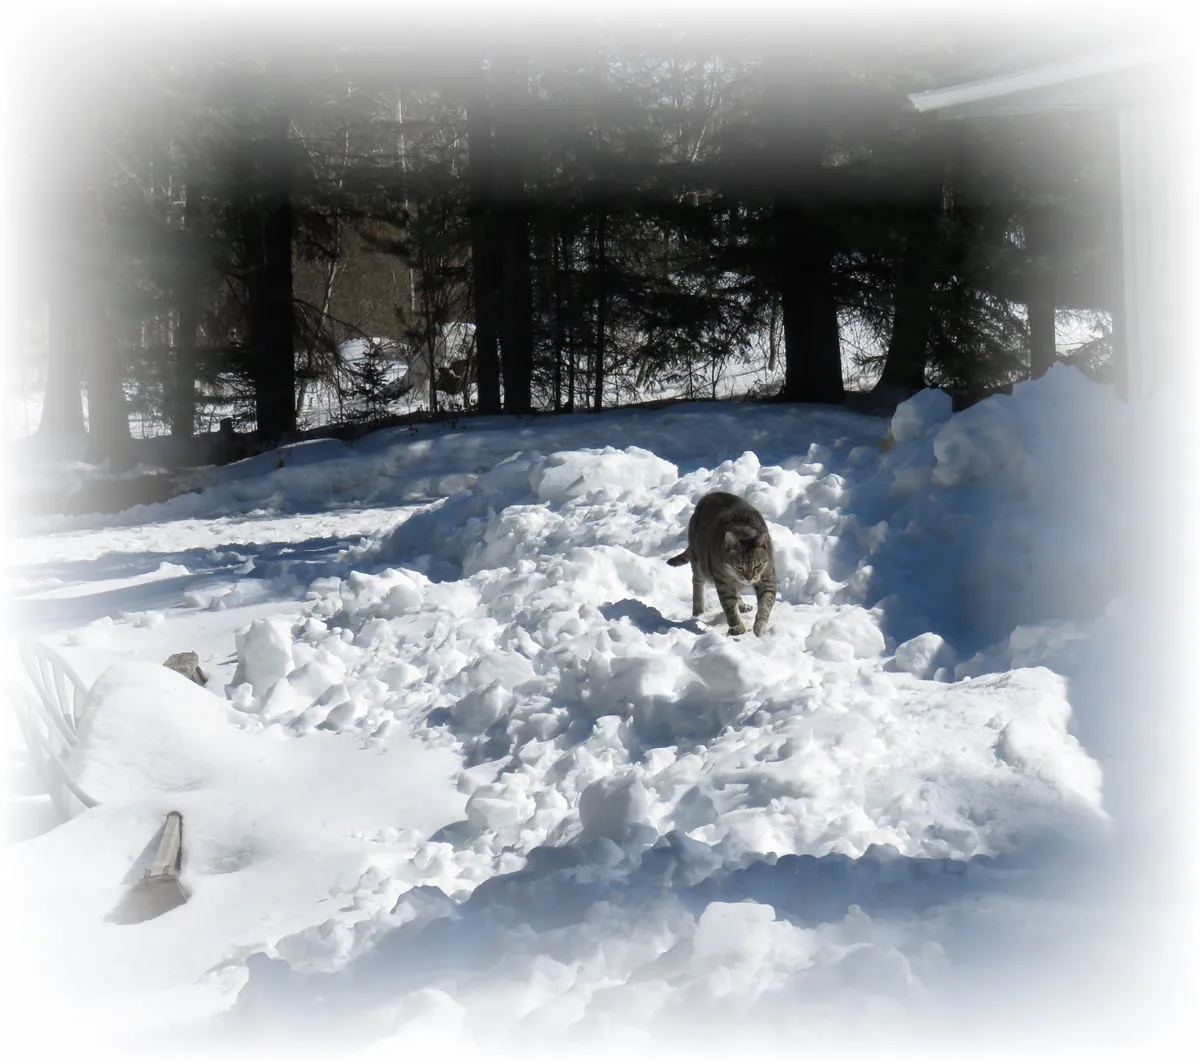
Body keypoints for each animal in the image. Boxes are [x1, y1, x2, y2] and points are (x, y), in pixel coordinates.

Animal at [667, 492, 777, 638]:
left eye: (757, 566)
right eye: (739, 567)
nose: (749, 578)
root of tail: (709, 495)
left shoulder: (767, 577)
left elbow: (765, 603)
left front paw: (759, 627)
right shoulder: (723, 582)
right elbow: (729, 606)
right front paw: (737, 626)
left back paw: (742, 605)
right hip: (701, 563)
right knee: (697, 581)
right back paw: (698, 609)